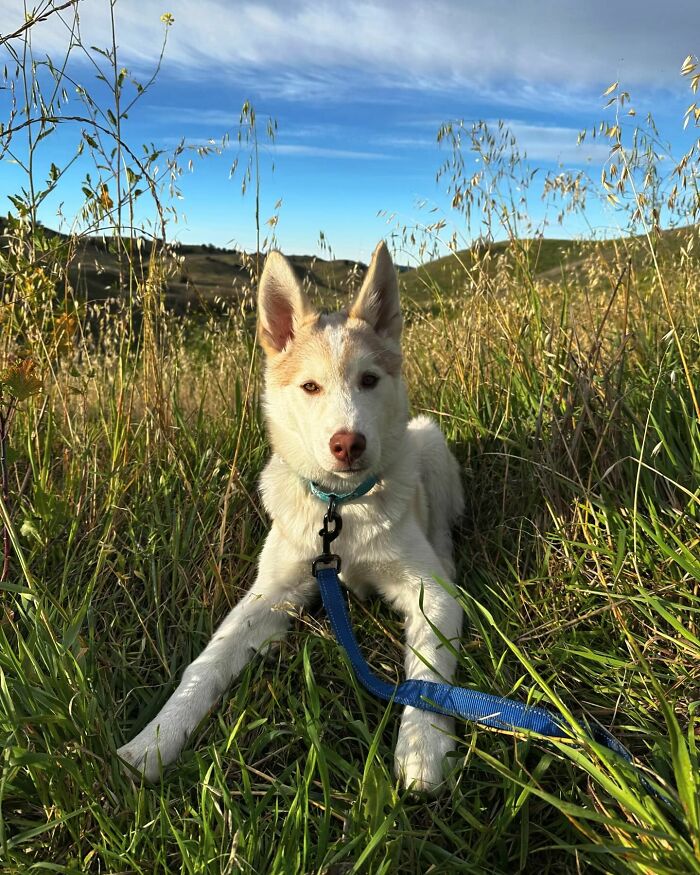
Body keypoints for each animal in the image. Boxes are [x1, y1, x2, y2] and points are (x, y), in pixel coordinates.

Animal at [117, 241, 464, 792]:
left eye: (369, 380)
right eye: (310, 387)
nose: (348, 444)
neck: (340, 509)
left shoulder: (432, 593)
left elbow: (428, 668)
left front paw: (423, 748)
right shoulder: (270, 592)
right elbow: (206, 663)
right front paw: (156, 738)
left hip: (427, 437)